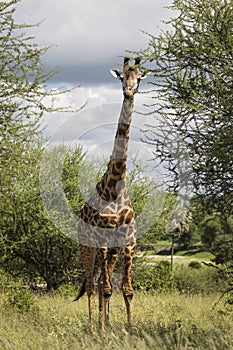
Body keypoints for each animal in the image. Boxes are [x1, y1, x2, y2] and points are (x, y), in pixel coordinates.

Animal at [75, 57, 147, 330]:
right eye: (121, 78)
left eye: (138, 79)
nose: (128, 91)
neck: (115, 185)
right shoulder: (103, 241)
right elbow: (106, 287)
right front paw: (103, 330)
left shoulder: (127, 241)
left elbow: (126, 289)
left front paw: (130, 327)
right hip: (86, 245)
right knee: (91, 284)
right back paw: (93, 324)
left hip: (112, 250)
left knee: (99, 283)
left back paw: (102, 321)